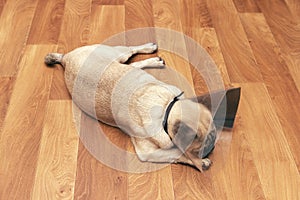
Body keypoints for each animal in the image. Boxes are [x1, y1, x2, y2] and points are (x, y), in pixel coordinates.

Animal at [44, 43, 217, 171]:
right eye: (200, 145)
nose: (212, 145)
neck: (165, 110)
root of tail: (66, 58)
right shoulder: (149, 152)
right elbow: (177, 153)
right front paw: (201, 161)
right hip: (117, 54)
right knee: (132, 55)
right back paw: (150, 52)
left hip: (117, 57)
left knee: (133, 62)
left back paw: (152, 57)